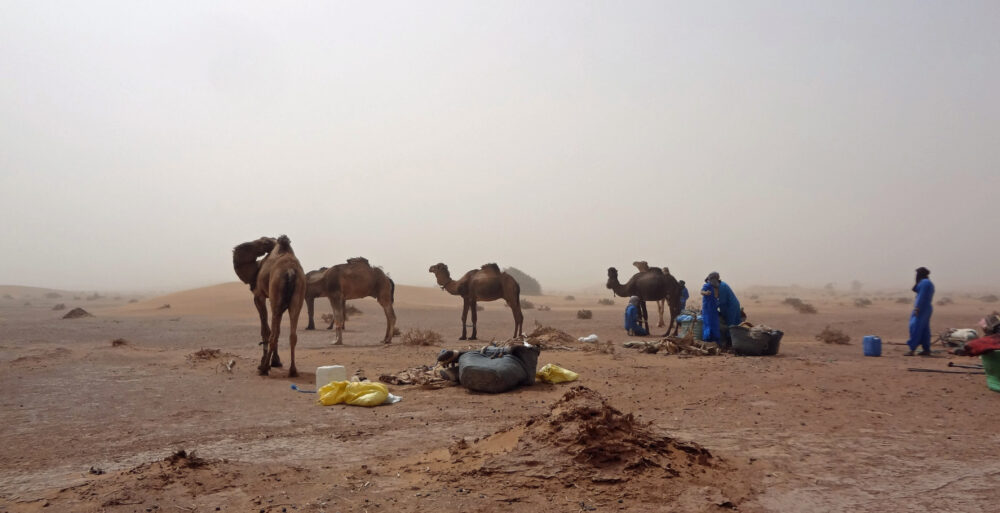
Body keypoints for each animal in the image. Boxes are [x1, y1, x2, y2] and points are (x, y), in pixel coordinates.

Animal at [232, 236, 306, 376]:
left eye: (263, 240)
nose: (267, 243)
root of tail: (290, 271)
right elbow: (277, 330)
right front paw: (276, 361)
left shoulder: (259, 296)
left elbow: (265, 329)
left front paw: (266, 362)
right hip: (297, 297)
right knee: (292, 335)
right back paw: (293, 370)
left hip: (275, 298)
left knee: (273, 335)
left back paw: (264, 368)